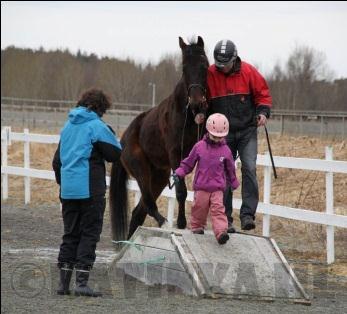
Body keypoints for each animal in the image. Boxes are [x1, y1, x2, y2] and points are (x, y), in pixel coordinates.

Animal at [110, 36, 211, 240]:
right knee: (148, 204)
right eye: (184, 67)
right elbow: (181, 191)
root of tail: (123, 139)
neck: (188, 114)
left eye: (204, 64)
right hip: (142, 170)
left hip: (159, 177)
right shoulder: (175, 154)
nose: (197, 102)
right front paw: (181, 223)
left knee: (138, 212)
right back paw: (164, 222)